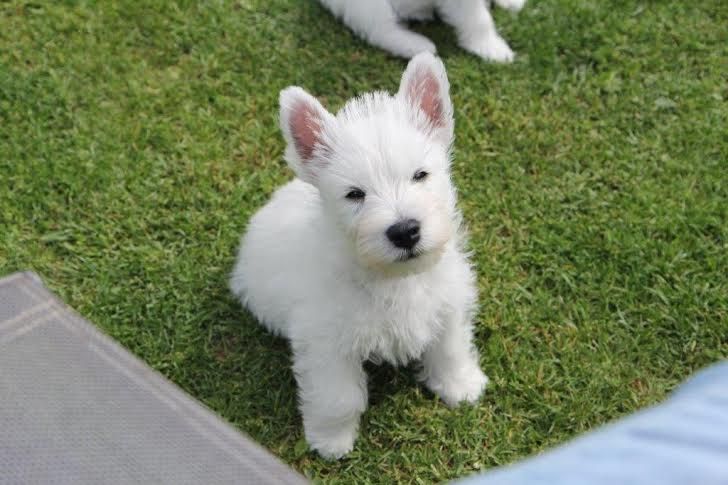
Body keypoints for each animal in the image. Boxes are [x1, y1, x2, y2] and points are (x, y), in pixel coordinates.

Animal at [230, 53, 488, 458]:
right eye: (354, 194)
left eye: (420, 175)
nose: (405, 231)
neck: (393, 278)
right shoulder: (326, 345)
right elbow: (339, 398)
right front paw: (331, 441)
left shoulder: (447, 304)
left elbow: (451, 348)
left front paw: (460, 386)